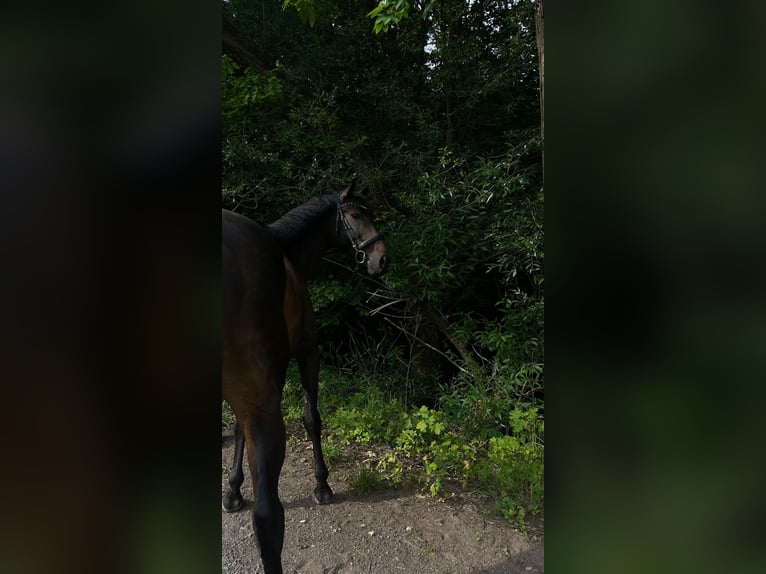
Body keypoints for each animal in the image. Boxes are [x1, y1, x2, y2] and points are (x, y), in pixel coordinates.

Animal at [222, 183, 390, 574]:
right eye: (356, 215)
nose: (381, 257)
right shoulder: (306, 353)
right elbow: (312, 419)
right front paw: (322, 483)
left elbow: (238, 429)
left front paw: (233, 490)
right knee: (267, 516)